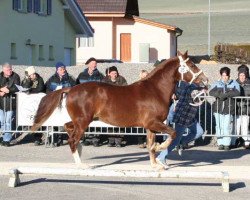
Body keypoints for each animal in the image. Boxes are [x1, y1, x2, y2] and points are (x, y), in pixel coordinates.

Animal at [30, 50, 207, 168]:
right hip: (83, 121)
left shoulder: (151, 126)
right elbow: (173, 133)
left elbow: (150, 144)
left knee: (67, 127)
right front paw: (160, 148)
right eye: (191, 64)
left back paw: (79, 151)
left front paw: (155, 164)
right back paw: (81, 164)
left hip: (82, 120)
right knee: (72, 139)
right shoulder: (153, 123)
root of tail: (71, 89)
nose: (205, 79)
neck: (155, 90)